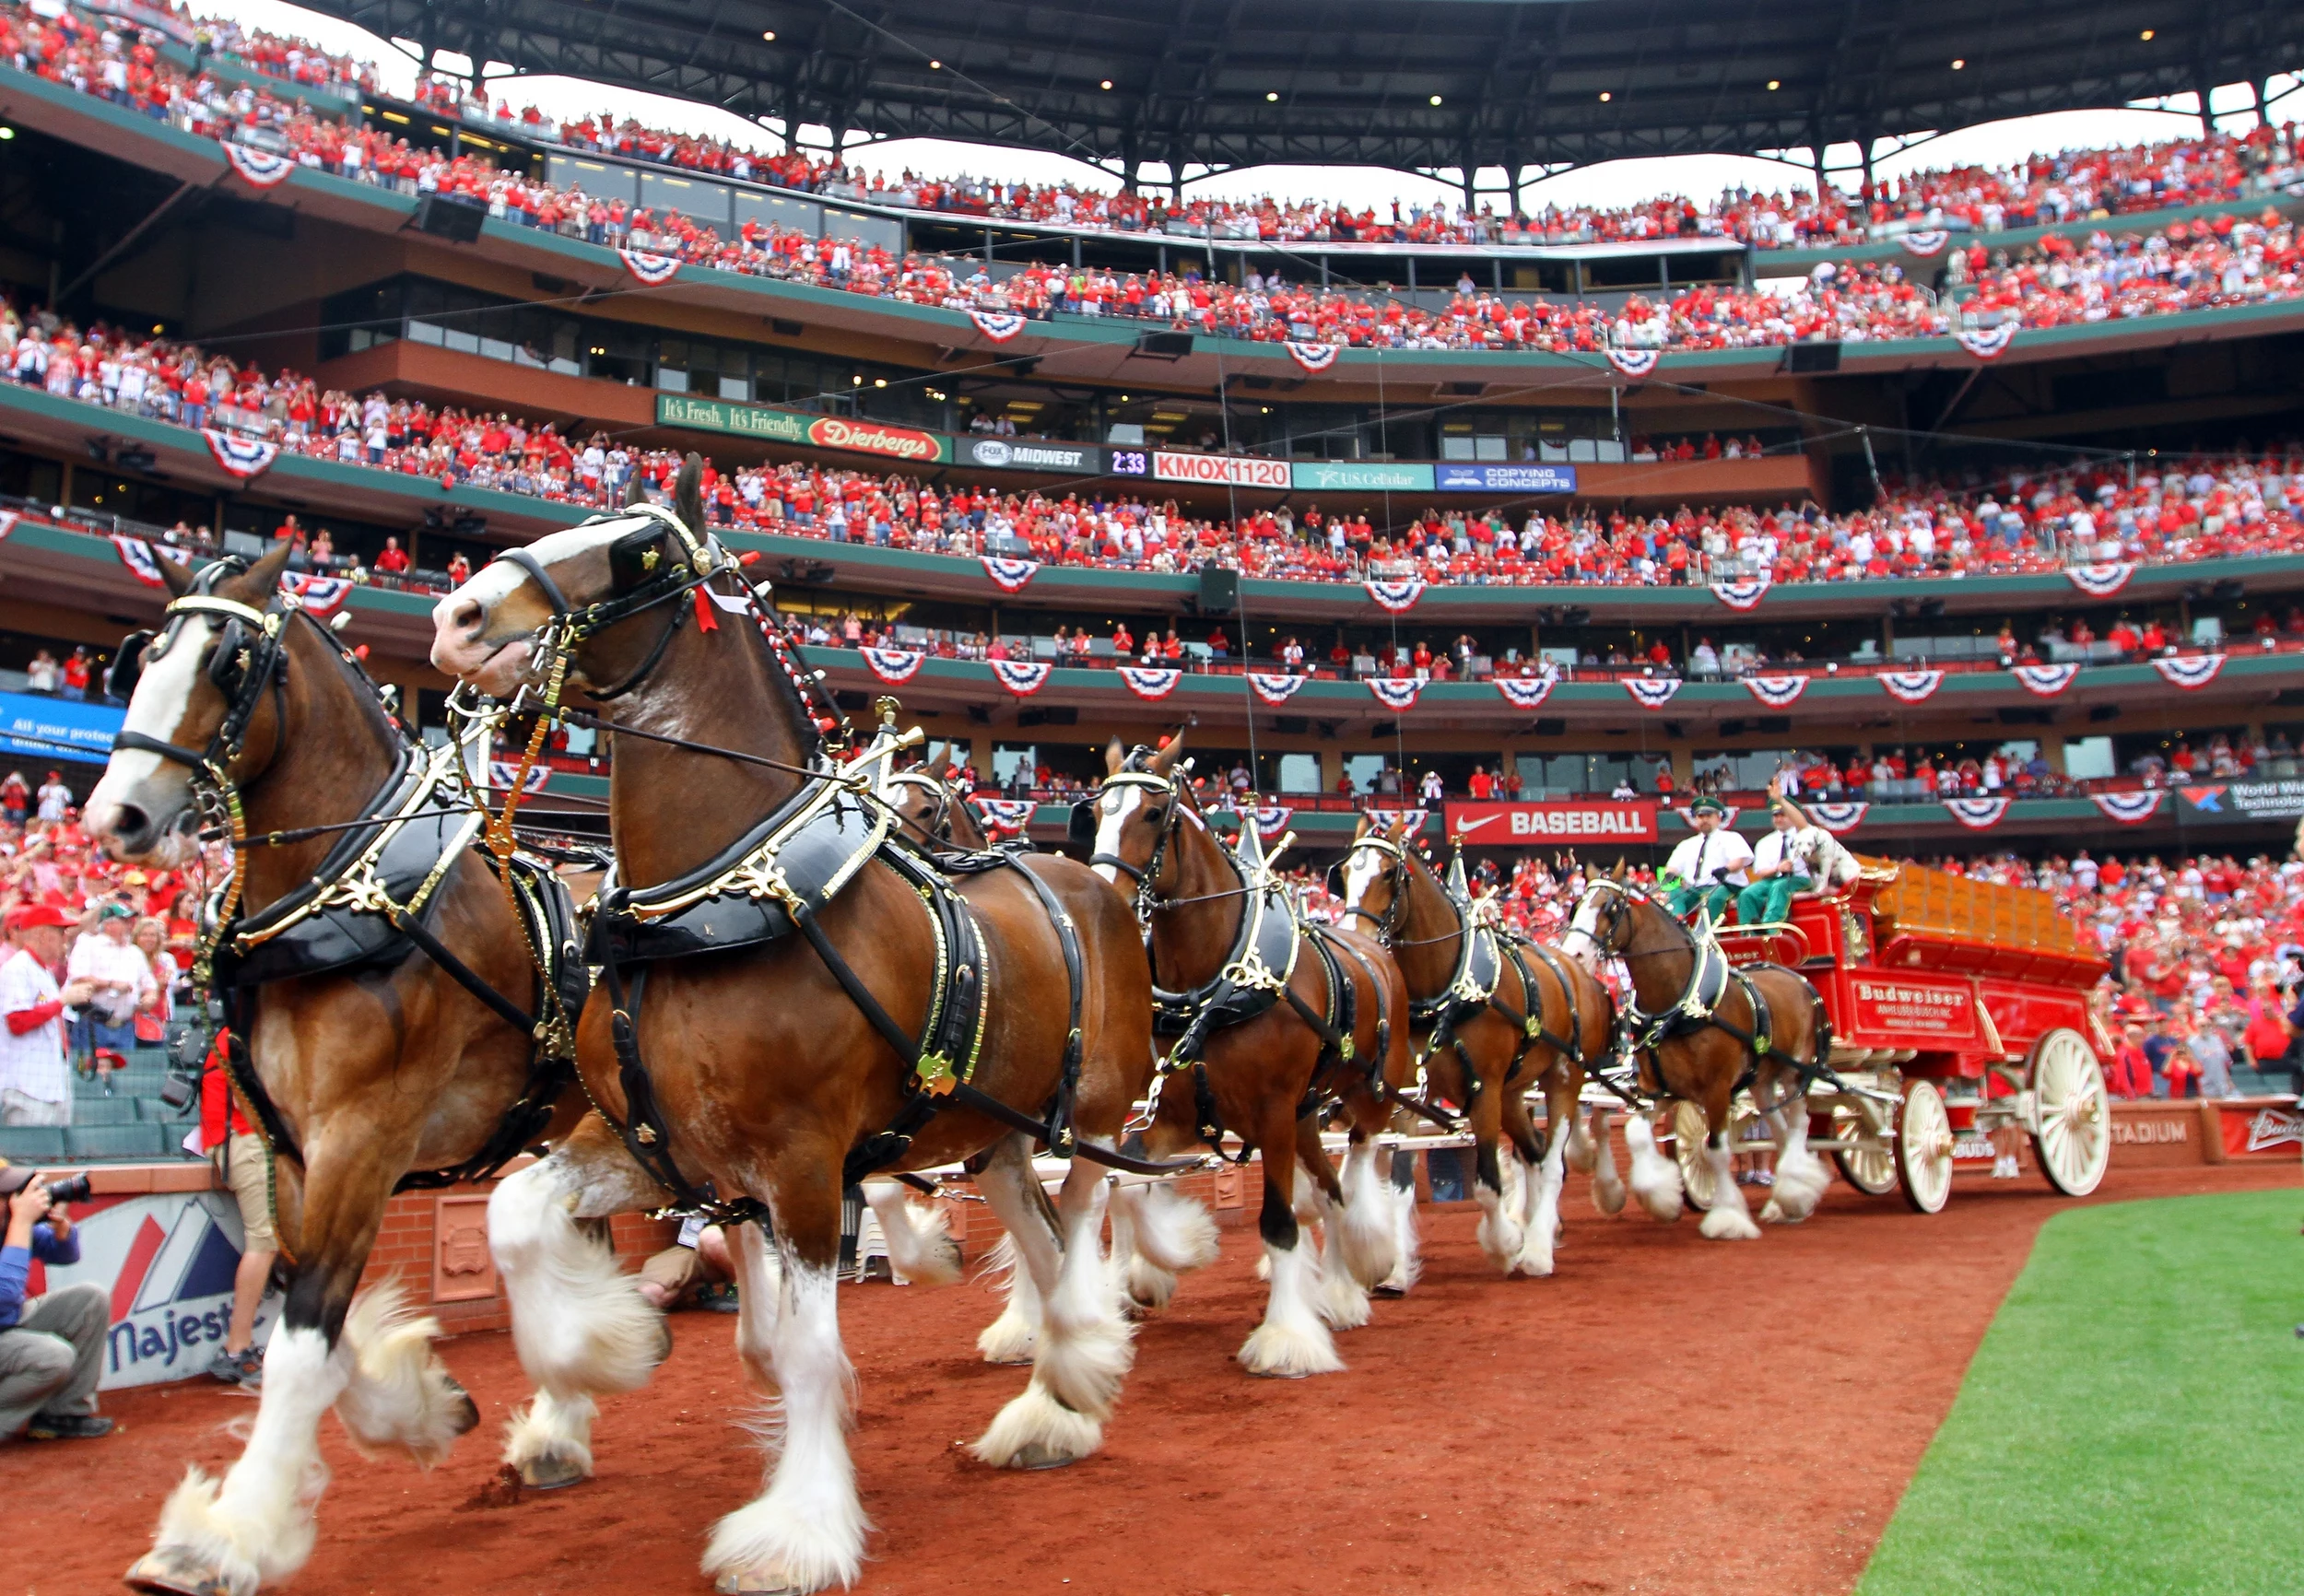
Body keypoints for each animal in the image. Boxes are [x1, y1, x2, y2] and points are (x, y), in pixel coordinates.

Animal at [81, 541, 617, 1584]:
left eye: (228, 665)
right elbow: (309, 1320)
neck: (347, 892)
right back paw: (568, 1414)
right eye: (138, 658)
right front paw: (425, 1405)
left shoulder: (363, 1137)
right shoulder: (291, 1151)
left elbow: (301, 1339)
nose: (114, 816)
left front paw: (231, 1533)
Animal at [430, 460, 1152, 1593]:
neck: (711, 900)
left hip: (1092, 1112)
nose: (458, 619)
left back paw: (1080, 1351)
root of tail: (1091, 881)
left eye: (637, 548)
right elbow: (512, 1214)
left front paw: (799, 1528)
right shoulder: (654, 1144)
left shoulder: (805, 1163)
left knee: (1080, 1220)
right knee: (1037, 1239)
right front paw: (597, 1354)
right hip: (990, 1134)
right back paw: (1054, 1404)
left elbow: (811, 1354)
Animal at [1083, 732, 1419, 1372]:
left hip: (1365, 1093)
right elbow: (1130, 1183)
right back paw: (1340, 1292)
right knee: (1330, 1191)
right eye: (1094, 814)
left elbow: (1279, 1222)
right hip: (1305, 1117)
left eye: (1154, 813)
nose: (1104, 900)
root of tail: (1374, 948)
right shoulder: (1180, 1113)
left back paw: (1367, 1254)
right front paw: (1168, 1259)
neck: (1219, 978)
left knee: (1359, 1159)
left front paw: (1286, 1339)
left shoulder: (1272, 1110)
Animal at [1336, 815, 1622, 1280]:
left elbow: (1488, 1185)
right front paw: (1396, 1271)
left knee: (1553, 1162)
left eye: (1389, 873)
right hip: (1513, 1092)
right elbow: (1400, 1184)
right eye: (1344, 873)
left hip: (1563, 1077)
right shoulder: (1411, 1094)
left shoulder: (1483, 1089)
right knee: (1535, 1154)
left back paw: (1538, 1251)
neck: (1448, 987)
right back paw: (1543, 1228)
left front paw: (1506, 1244)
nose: (1353, 939)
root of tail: (1581, 972)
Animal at [1567, 870, 1834, 1234]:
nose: (1573, 954)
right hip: (1762, 1081)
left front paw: (1728, 1217)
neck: (1681, 1003)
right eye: (1576, 905)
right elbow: (1637, 1133)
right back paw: (1785, 1201)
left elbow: (1716, 1150)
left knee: (1798, 1125)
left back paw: (1797, 1189)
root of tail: (1798, 979)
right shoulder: (1660, 1090)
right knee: (1779, 1127)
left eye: (1609, 906)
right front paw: (1660, 1199)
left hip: (1797, 1073)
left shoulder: (1717, 1090)